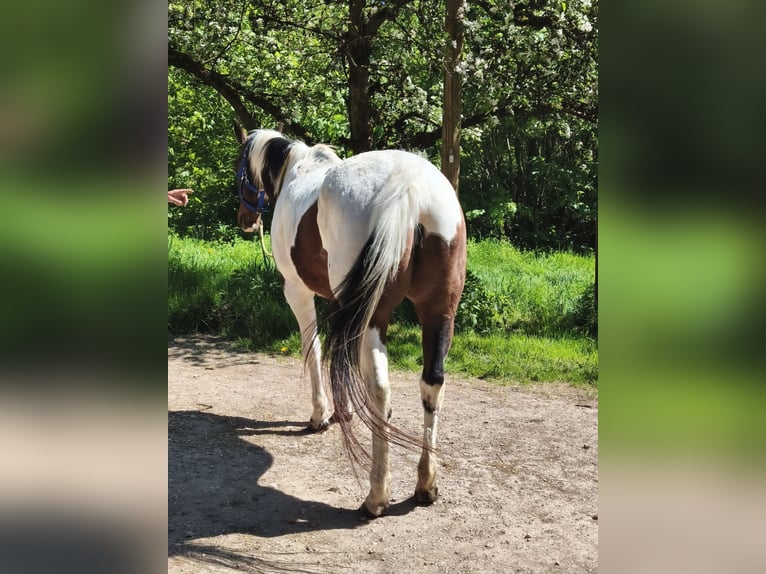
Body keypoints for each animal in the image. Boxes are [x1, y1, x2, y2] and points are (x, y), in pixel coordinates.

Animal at [233, 127, 466, 517]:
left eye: (240, 172)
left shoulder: (297, 291)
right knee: (432, 383)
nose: (244, 220)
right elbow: (340, 357)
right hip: (439, 311)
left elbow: (314, 350)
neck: (298, 168)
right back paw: (426, 484)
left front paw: (321, 415)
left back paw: (377, 495)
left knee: (380, 390)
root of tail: (409, 185)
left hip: (375, 315)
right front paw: (345, 412)